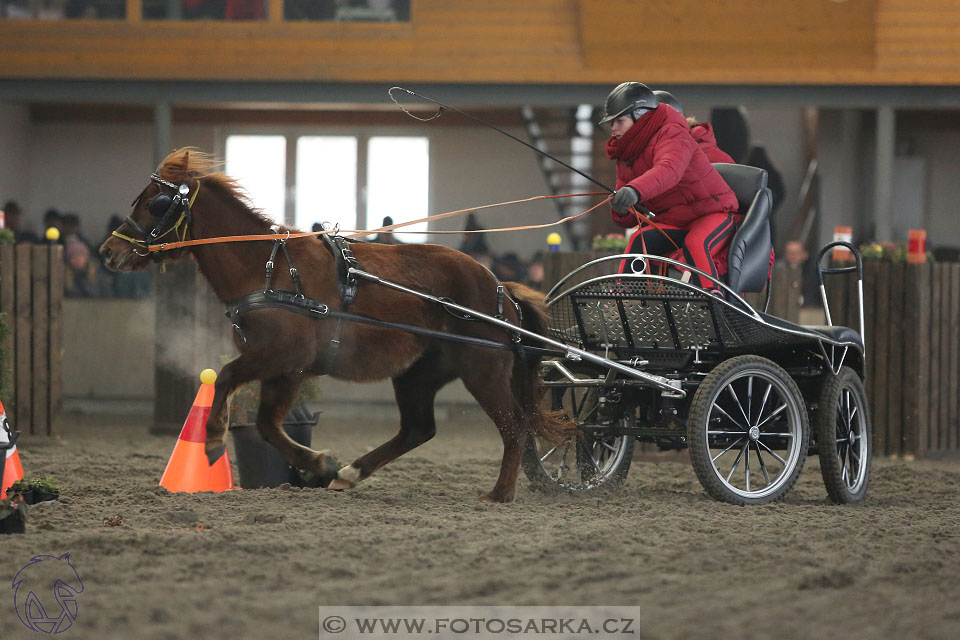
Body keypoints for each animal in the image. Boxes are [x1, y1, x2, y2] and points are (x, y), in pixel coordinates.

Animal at [99, 148, 564, 502]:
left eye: (155, 202)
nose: (107, 252)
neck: (266, 268)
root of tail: (499, 287)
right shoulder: (285, 370)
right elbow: (266, 424)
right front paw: (321, 465)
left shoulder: (283, 357)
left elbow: (229, 378)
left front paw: (213, 438)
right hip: (418, 373)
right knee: (418, 428)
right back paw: (350, 473)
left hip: (481, 369)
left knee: (514, 425)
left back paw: (500, 493)